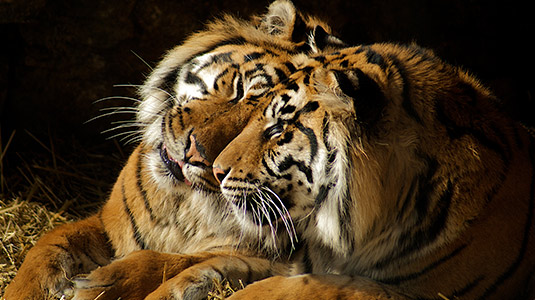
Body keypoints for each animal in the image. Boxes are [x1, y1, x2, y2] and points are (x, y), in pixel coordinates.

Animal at [2, 1, 346, 298]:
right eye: (240, 89)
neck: (183, 204)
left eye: (276, 131)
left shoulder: (270, 257)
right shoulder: (105, 224)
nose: (195, 154)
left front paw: (97, 285)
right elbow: (48, 245)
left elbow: (169, 259)